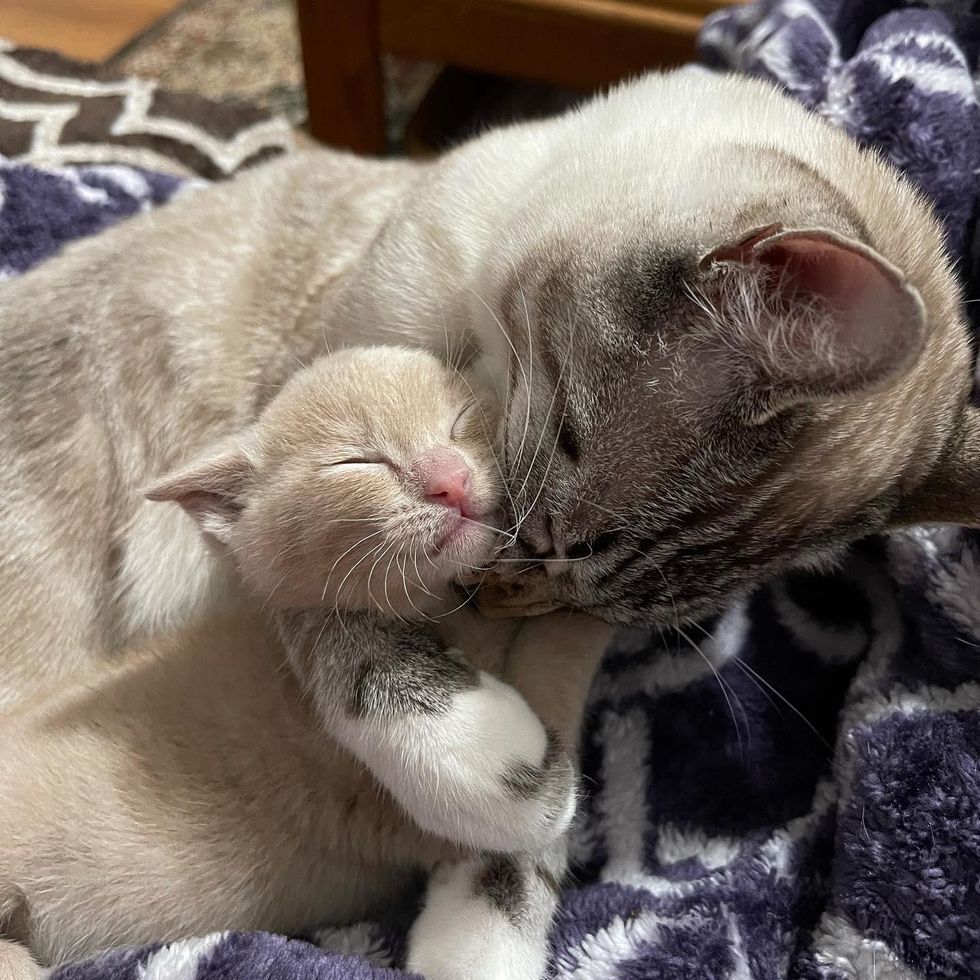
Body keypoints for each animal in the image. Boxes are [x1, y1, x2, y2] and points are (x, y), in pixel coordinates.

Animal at [0, 344, 612, 980]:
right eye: (356, 461)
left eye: (459, 420)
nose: (451, 479)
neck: (454, 614)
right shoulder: (295, 616)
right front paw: (508, 768)